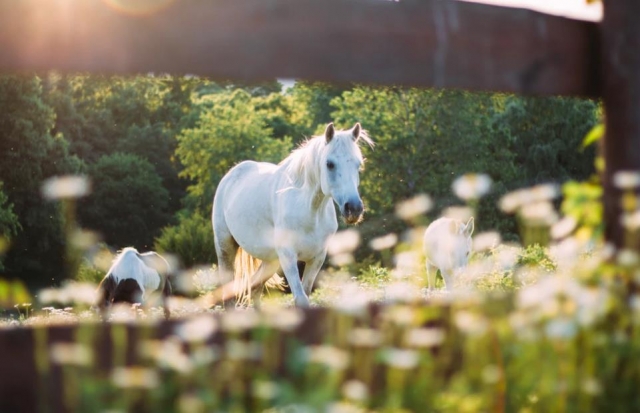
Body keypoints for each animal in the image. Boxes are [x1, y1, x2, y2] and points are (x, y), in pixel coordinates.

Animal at [206, 122, 373, 307]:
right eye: (330, 164)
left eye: (358, 165)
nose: (354, 208)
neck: (310, 213)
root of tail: (231, 175)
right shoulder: (288, 257)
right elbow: (301, 299)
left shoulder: (316, 258)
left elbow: (305, 294)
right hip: (225, 247)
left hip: (271, 260)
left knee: (255, 287)